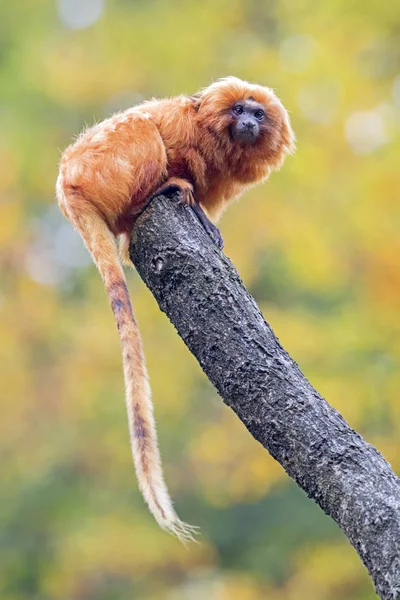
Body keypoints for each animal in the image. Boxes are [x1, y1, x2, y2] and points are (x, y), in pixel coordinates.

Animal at [55, 77, 294, 540]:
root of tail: (68, 188)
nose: (247, 122)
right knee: (142, 131)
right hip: (102, 171)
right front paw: (183, 191)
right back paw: (155, 193)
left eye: (257, 114)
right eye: (238, 110)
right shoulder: (182, 127)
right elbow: (166, 136)